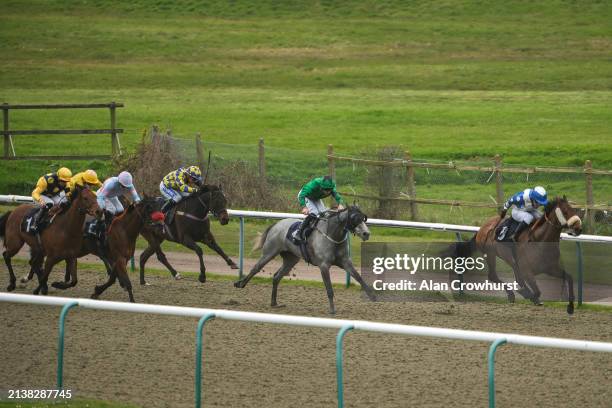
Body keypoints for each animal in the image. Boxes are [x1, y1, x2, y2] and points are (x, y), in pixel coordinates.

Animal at [234, 207, 378, 316]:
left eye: (363, 218)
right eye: (355, 219)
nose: (366, 233)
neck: (332, 235)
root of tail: (277, 225)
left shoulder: (345, 262)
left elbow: (358, 277)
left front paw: (372, 296)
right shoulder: (324, 266)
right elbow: (329, 288)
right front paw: (332, 310)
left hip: (291, 259)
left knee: (276, 276)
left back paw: (274, 302)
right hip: (269, 252)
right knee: (256, 268)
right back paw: (240, 283)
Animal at [454, 196, 584, 314]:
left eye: (574, 210)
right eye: (566, 211)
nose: (578, 228)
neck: (539, 240)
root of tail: (483, 227)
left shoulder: (551, 268)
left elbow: (569, 278)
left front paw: (570, 307)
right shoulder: (527, 271)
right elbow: (537, 291)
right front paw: (527, 295)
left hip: (512, 261)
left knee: (517, 279)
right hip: (491, 254)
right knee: (493, 276)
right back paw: (512, 294)